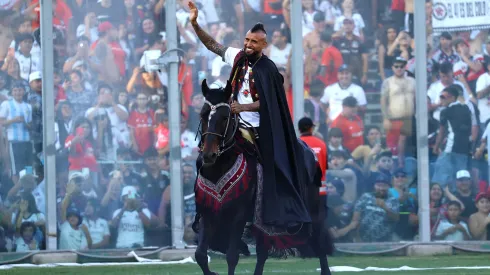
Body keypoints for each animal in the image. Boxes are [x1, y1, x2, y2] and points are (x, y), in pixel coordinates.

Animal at [192, 80, 334, 275]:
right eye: (203, 114)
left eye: (225, 117)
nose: (208, 155)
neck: (220, 167)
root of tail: (308, 151)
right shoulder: (208, 212)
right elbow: (200, 254)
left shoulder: (238, 215)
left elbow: (231, 256)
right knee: (263, 252)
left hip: (312, 209)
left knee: (319, 242)